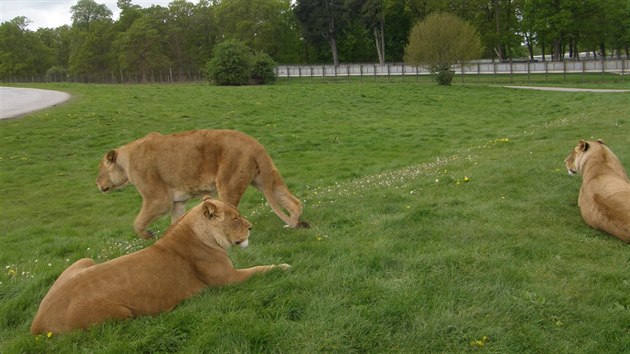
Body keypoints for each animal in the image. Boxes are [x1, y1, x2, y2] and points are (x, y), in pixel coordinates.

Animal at [32, 199, 292, 334]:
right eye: (235, 218)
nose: (251, 227)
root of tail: (36, 325)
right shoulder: (229, 280)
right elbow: (262, 269)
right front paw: (286, 265)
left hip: (84, 260)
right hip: (121, 313)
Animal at [95, 129, 308, 239]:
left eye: (100, 170)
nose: (97, 184)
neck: (125, 160)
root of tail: (255, 144)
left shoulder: (158, 199)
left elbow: (137, 223)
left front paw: (149, 236)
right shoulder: (177, 202)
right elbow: (175, 222)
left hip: (228, 184)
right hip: (264, 180)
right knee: (294, 202)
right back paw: (292, 224)